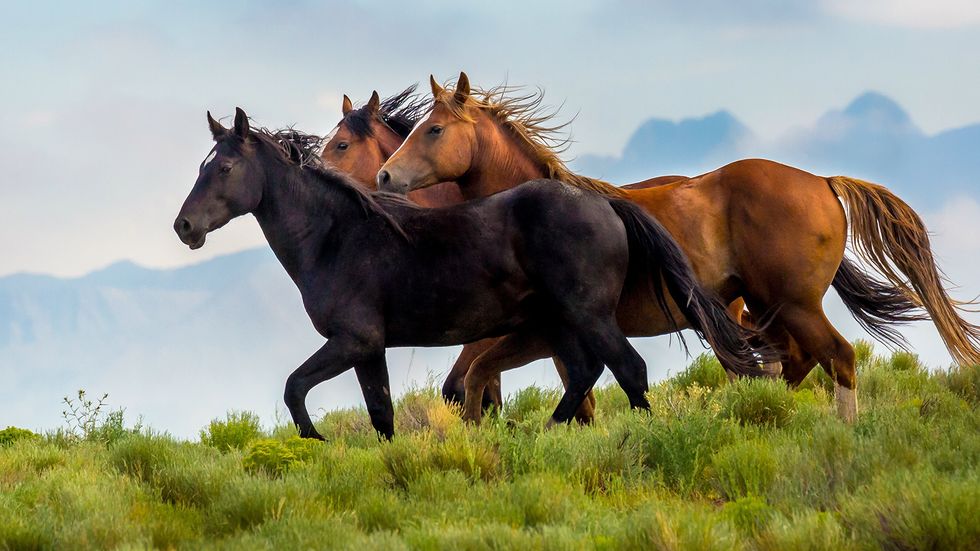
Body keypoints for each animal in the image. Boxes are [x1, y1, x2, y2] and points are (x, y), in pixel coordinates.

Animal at [173, 108, 772, 438]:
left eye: (224, 167)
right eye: (202, 166)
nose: (184, 227)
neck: (337, 237)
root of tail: (604, 202)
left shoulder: (352, 340)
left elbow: (296, 389)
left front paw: (315, 441)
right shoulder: (369, 349)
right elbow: (382, 415)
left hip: (588, 315)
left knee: (629, 370)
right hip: (560, 324)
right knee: (584, 375)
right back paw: (544, 435)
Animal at [378, 72, 980, 422]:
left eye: (434, 130)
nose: (385, 176)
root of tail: (823, 182)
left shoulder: (545, 330)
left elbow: (485, 380)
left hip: (794, 304)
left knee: (837, 359)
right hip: (765, 308)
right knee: (793, 363)